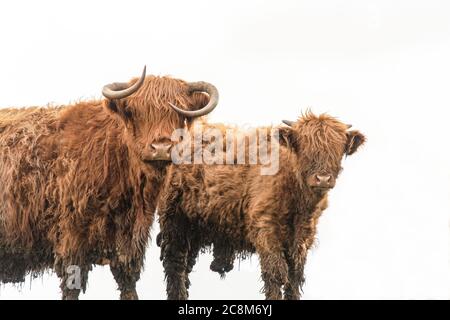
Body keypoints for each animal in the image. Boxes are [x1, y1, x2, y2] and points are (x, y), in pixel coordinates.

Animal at [0, 67, 220, 300]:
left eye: (180, 113)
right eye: (134, 111)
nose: (161, 148)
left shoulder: (130, 240)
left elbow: (128, 282)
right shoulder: (71, 237)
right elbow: (71, 286)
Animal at [158, 112, 366, 300]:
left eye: (338, 149)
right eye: (304, 147)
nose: (323, 178)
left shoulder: (303, 238)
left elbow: (294, 278)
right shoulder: (265, 229)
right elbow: (275, 274)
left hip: (194, 229)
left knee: (186, 266)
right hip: (174, 221)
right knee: (175, 264)